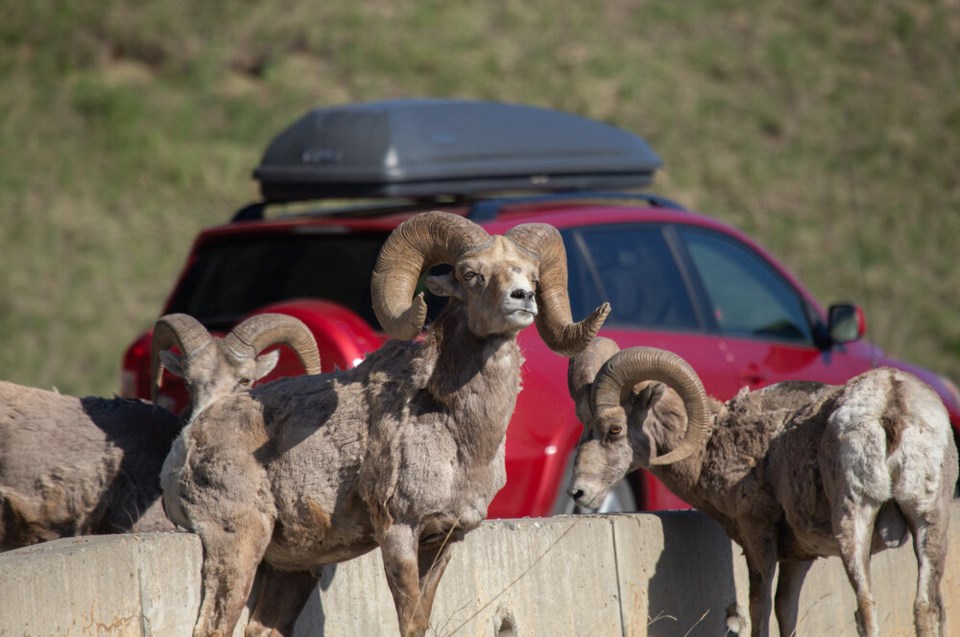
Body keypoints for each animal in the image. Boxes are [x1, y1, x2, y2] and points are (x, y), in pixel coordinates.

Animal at [158, 210, 608, 636]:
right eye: (470, 273)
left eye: (532, 276)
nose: (523, 298)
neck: (459, 438)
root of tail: (185, 444)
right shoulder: (399, 531)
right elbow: (408, 622)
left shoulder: (444, 539)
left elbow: (423, 617)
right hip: (237, 545)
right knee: (213, 626)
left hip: (291, 568)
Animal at [568, 338, 956, 636]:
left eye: (614, 429)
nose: (578, 492)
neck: (714, 442)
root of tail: (890, 404)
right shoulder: (798, 557)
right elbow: (787, 611)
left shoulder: (758, 533)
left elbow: (759, 607)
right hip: (929, 520)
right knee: (927, 606)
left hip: (856, 517)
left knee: (866, 605)